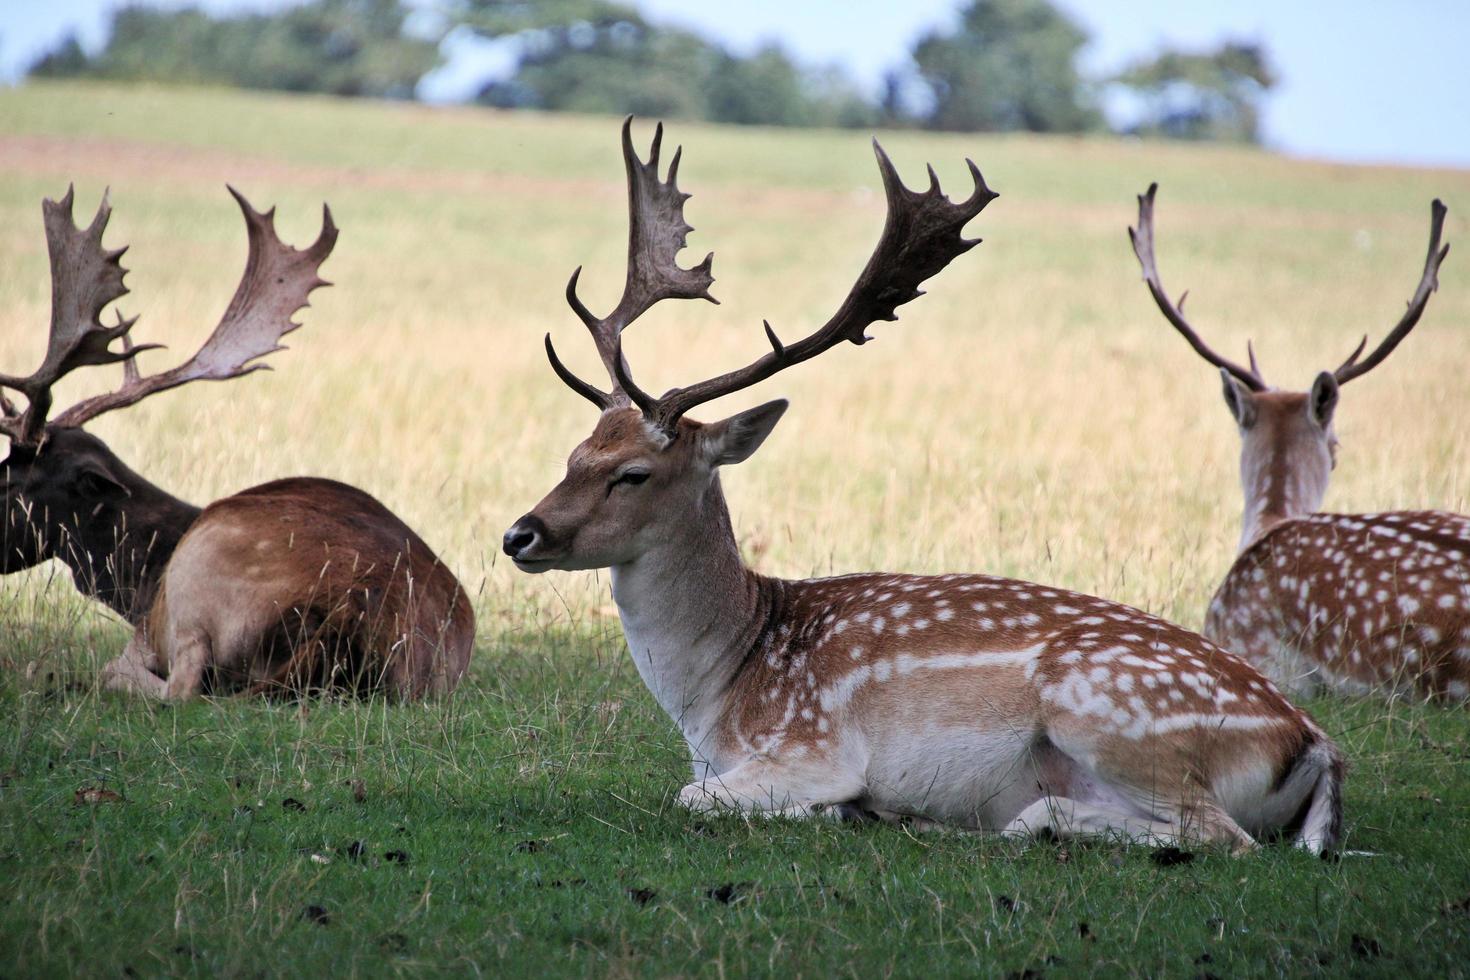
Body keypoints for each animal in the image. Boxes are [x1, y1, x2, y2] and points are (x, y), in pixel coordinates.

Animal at [2, 188, 473, 702]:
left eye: (9, 480)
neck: (141, 579)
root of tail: (348, 611)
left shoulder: (149, 628)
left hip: (198, 586)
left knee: (179, 688)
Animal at [505, 120, 1346, 858]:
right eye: (576, 452)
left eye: (633, 473)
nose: (520, 534)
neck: (720, 696)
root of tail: (1312, 742)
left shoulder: (813, 743)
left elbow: (693, 797)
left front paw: (840, 811)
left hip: (1109, 709)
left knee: (1220, 835)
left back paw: (1007, 819)